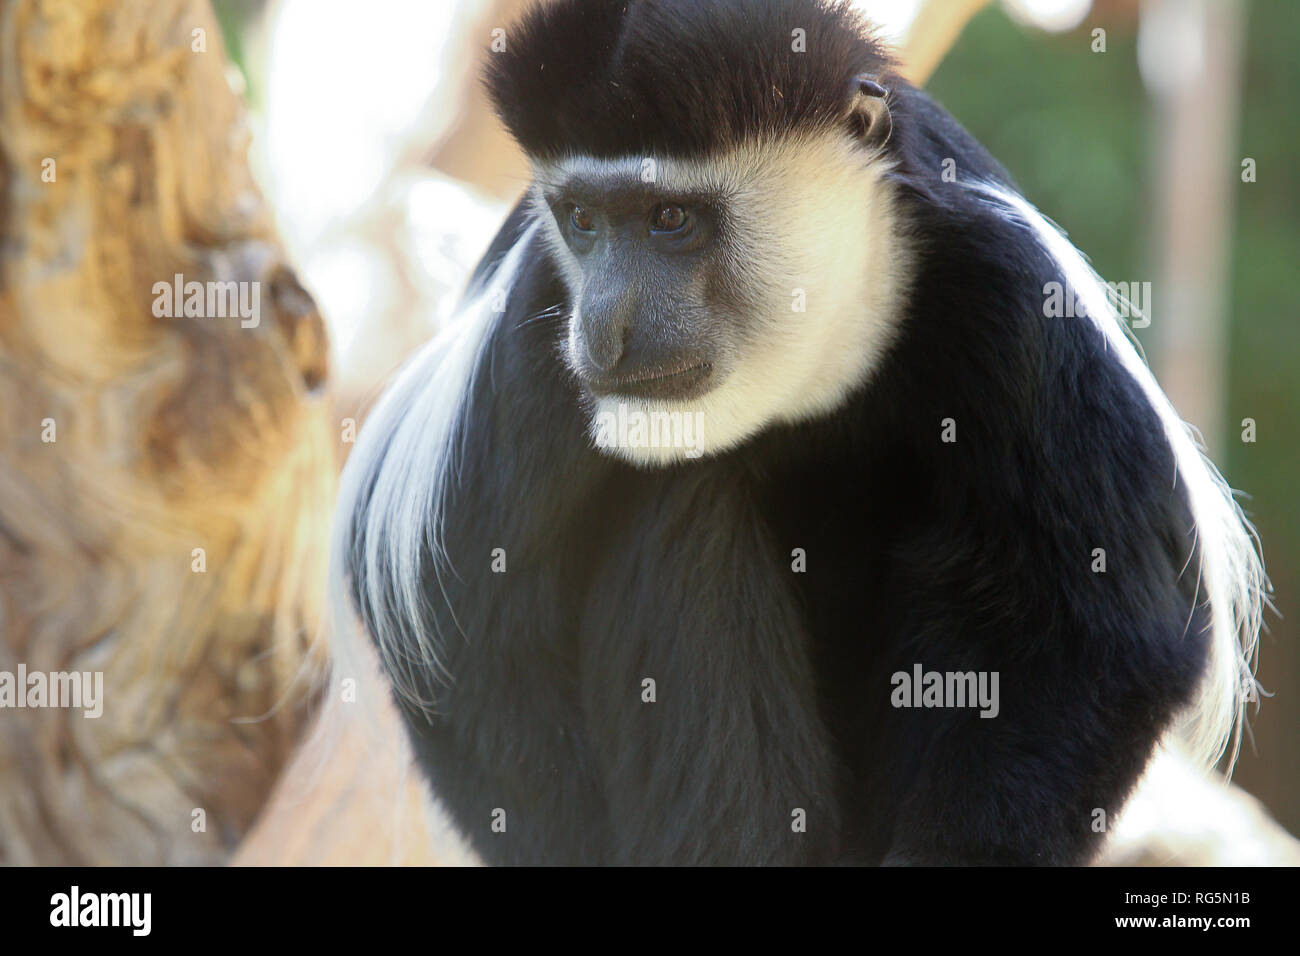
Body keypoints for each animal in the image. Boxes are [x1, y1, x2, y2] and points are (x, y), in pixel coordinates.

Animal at [330, 0, 1263, 868]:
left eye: (672, 218)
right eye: (583, 221)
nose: (604, 333)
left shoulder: (1019, 294)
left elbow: (1095, 634)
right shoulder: (528, 328)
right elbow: (469, 617)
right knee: (684, 497)